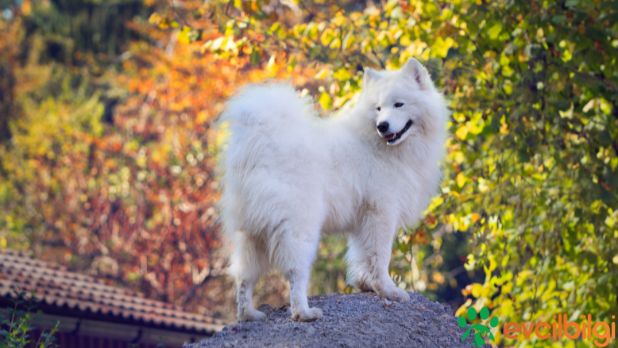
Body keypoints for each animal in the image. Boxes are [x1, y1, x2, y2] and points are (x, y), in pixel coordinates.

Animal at [219, 58, 446, 322]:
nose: (382, 126)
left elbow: (362, 256)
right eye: (379, 108)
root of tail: (257, 143)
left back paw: (249, 314)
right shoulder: (381, 213)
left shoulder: (363, 219)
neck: (380, 145)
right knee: (295, 273)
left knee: (244, 277)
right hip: (300, 228)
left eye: (399, 104)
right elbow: (380, 257)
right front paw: (388, 290)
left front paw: (365, 284)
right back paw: (304, 313)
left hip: (252, 234)